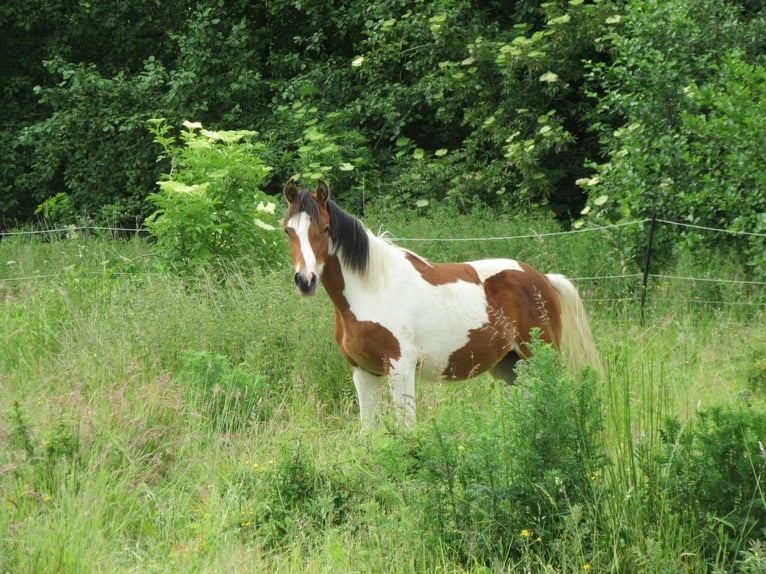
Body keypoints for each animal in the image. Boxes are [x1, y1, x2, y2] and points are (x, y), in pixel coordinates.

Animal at [284, 179, 604, 428]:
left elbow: (406, 429)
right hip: (510, 365)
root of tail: (543, 279)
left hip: (540, 356)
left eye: (326, 229)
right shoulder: (364, 372)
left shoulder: (400, 369)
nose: (305, 280)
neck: (374, 288)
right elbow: (368, 433)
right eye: (287, 230)